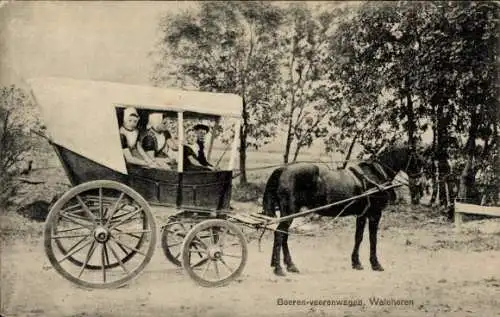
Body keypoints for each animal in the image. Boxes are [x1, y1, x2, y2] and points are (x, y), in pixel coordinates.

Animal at [262, 142, 422, 276]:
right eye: (417, 158)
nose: (419, 180)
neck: (376, 175)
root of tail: (282, 169)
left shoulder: (362, 215)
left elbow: (359, 237)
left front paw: (356, 262)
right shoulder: (375, 214)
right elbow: (373, 239)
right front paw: (375, 264)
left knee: (284, 235)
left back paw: (290, 265)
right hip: (289, 212)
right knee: (279, 234)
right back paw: (279, 268)